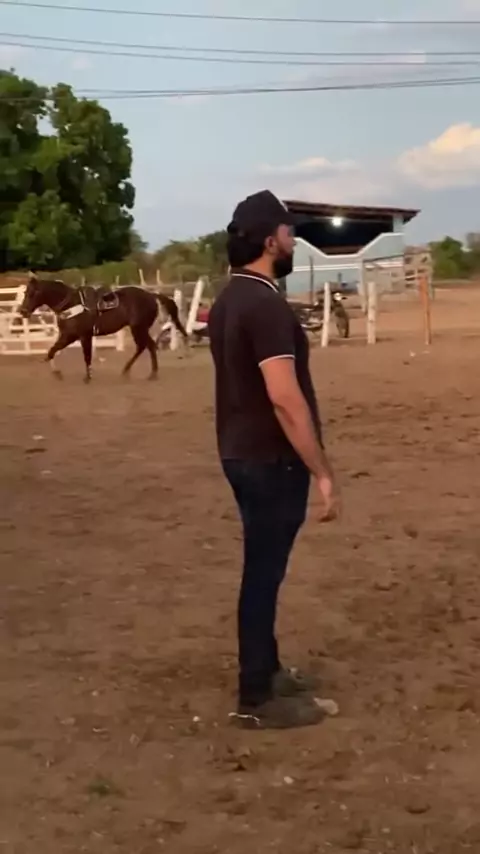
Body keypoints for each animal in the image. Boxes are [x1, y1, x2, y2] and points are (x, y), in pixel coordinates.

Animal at [19, 274, 188, 383]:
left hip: (138, 328)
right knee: (145, 346)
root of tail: (152, 295)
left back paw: (149, 374)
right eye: (26, 292)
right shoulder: (68, 336)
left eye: (33, 293)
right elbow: (51, 351)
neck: (71, 304)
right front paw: (56, 373)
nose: (23, 311)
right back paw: (130, 371)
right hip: (139, 329)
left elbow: (86, 355)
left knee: (148, 346)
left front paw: (88, 377)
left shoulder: (84, 336)